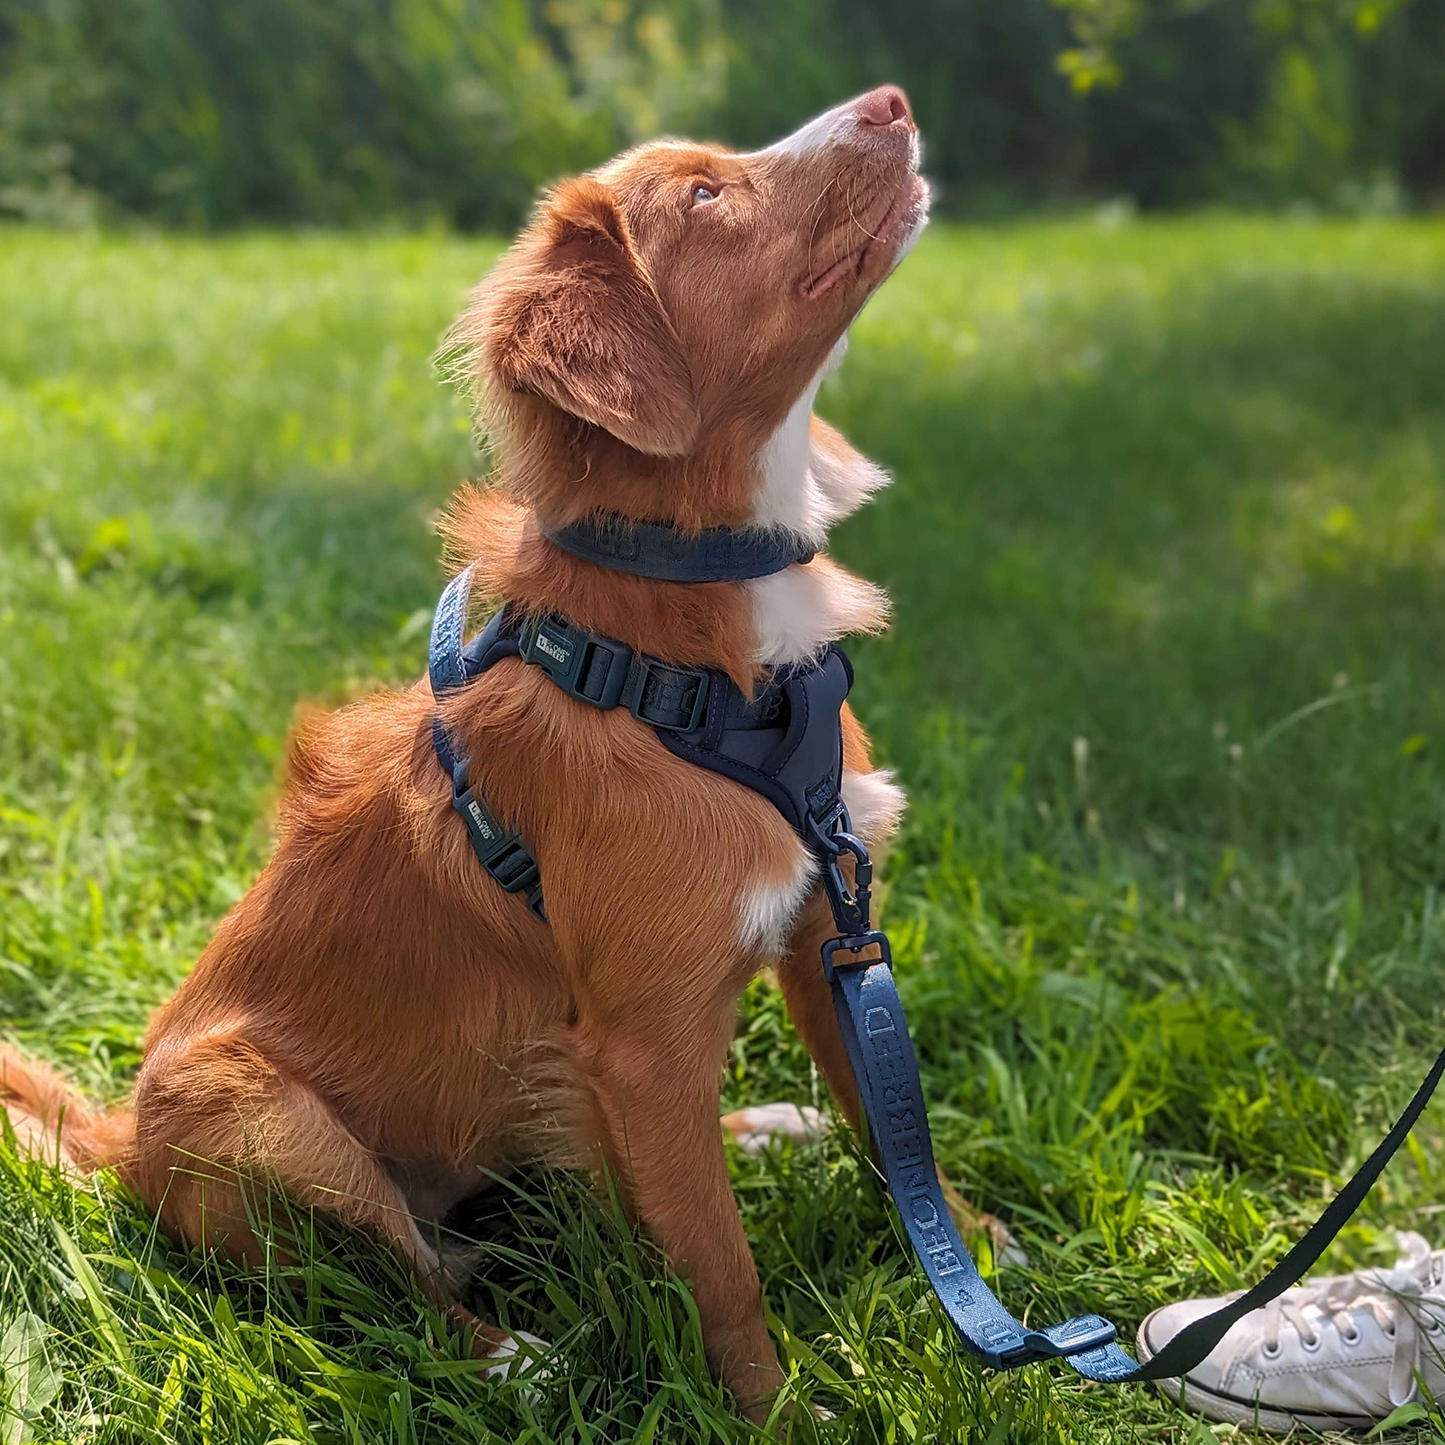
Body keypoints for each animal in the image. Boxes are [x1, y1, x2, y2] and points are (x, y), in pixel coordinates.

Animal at [0, 87, 994, 1421]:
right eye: (702, 196)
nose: (889, 104)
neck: (692, 647)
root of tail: (120, 1148)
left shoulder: (823, 927)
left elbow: (891, 1124)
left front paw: (979, 1243)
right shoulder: (641, 1042)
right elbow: (720, 1264)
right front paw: (777, 1414)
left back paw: (758, 1127)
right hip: (257, 1114)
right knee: (404, 1279)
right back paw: (516, 1359)